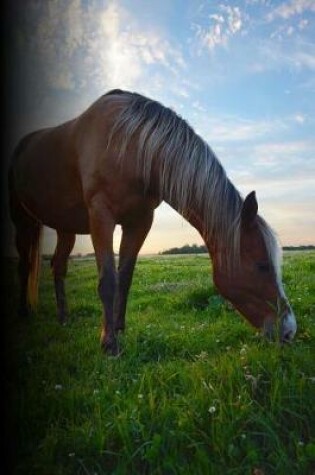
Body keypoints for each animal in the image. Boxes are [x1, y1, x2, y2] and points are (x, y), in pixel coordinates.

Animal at [8, 89, 298, 356]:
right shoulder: (101, 216)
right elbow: (108, 280)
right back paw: (23, 314)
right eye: (262, 265)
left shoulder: (139, 222)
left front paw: (119, 330)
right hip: (22, 220)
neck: (129, 144)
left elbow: (125, 278)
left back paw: (63, 318)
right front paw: (109, 343)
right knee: (24, 266)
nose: (289, 330)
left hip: (64, 227)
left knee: (58, 267)